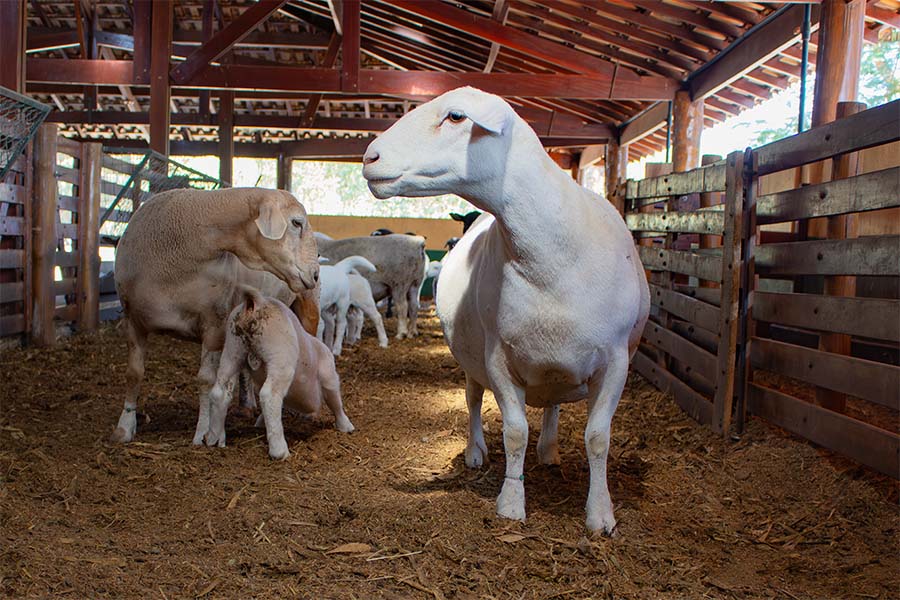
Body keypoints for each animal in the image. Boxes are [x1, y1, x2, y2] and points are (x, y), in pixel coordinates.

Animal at [207, 286, 356, 460]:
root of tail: (257, 303)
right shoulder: (329, 374)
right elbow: (335, 401)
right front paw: (347, 427)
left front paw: (259, 424)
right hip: (280, 356)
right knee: (269, 395)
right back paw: (281, 452)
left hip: (233, 348)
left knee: (219, 392)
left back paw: (214, 440)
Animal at [362, 86, 652, 532]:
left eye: (456, 116)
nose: (369, 158)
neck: (551, 256)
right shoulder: (498, 356)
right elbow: (515, 432)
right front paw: (512, 503)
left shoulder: (617, 360)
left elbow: (598, 438)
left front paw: (600, 513)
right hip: (470, 359)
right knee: (472, 401)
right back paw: (475, 451)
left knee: (552, 405)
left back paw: (549, 451)